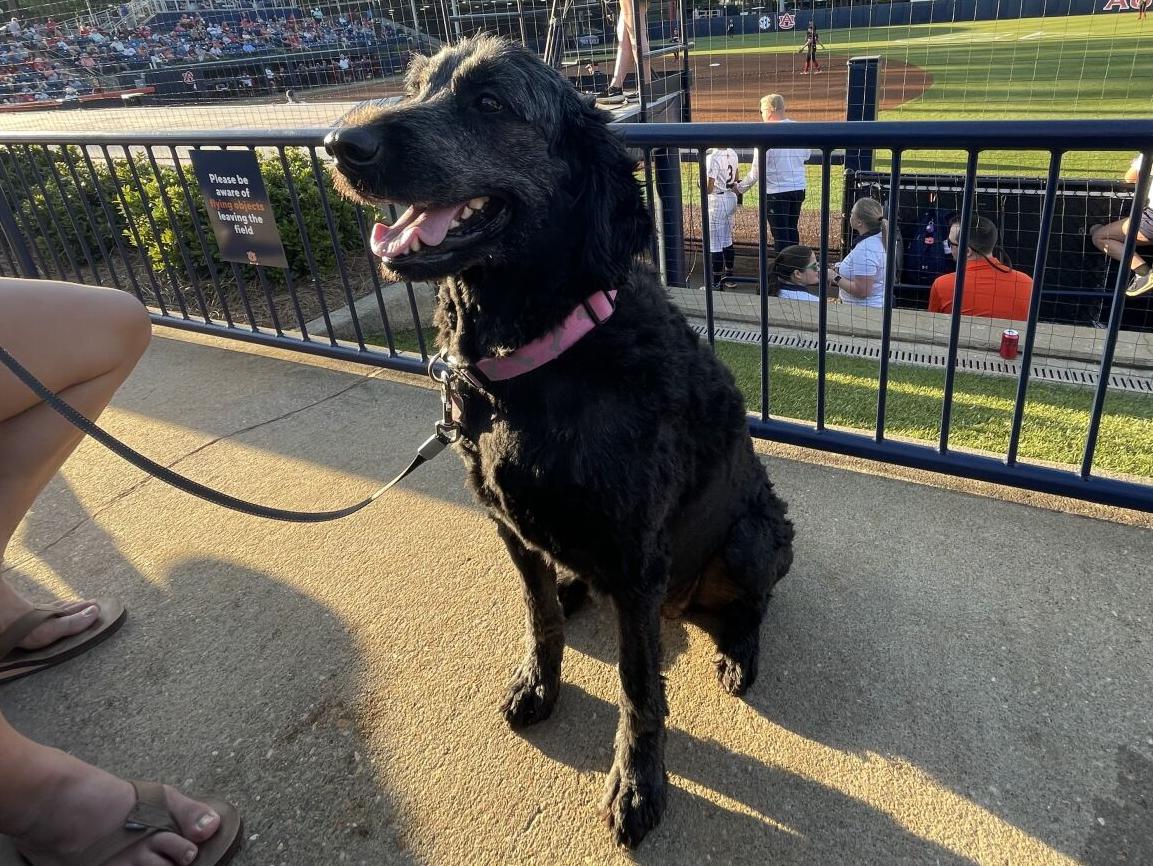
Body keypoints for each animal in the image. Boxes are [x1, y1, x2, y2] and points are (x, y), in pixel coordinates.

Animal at [325, 33, 793, 848]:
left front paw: (637, 785)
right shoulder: (508, 527)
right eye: (417, 86)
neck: (536, 359)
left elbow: (639, 690)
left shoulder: (636, 561)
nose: (338, 144)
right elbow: (536, 618)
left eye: (489, 102)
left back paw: (737, 652)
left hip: (752, 534)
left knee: (752, 604)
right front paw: (537, 684)